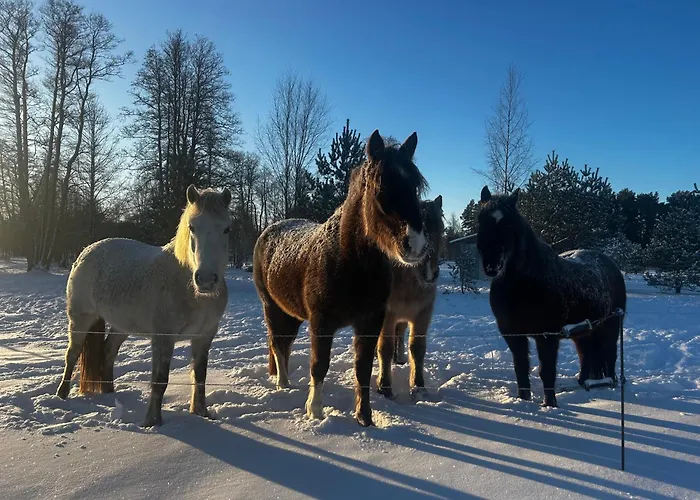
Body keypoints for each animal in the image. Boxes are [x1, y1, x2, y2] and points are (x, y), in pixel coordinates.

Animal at [55, 185, 232, 427]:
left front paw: (200, 412)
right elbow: (160, 380)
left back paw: (109, 392)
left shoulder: (204, 337)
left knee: (108, 351)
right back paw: (62, 395)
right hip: (80, 319)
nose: (205, 280)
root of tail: (86, 251)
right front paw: (153, 421)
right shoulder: (163, 338)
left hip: (122, 325)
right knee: (72, 353)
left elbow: (200, 376)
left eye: (226, 229)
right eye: (192, 227)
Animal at [253, 130, 428, 427]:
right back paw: (283, 383)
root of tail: (269, 231)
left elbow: (363, 369)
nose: (415, 245)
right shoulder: (321, 323)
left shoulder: (370, 323)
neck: (348, 261)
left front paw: (365, 418)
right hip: (272, 307)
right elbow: (319, 365)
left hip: (291, 314)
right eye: (380, 188)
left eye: (415, 187)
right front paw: (315, 411)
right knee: (277, 342)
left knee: (284, 344)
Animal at [376, 195, 444, 400]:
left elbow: (417, 348)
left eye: (442, 229)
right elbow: (385, 348)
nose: (430, 274)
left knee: (399, 334)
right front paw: (384, 387)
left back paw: (398, 359)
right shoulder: (387, 315)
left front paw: (418, 386)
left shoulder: (422, 314)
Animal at [476, 185, 626, 407]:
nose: (491, 266)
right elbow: (521, 368)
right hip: (584, 330)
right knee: (586, 355)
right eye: (481, 220)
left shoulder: (546, 336)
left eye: (509, 224)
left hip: (610, 325)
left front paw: (550, 405)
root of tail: (610, 264)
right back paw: (583, 382)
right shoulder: (513, 334)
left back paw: (611, 383)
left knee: (610, 354)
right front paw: (523, 400)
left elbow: (546, 371)